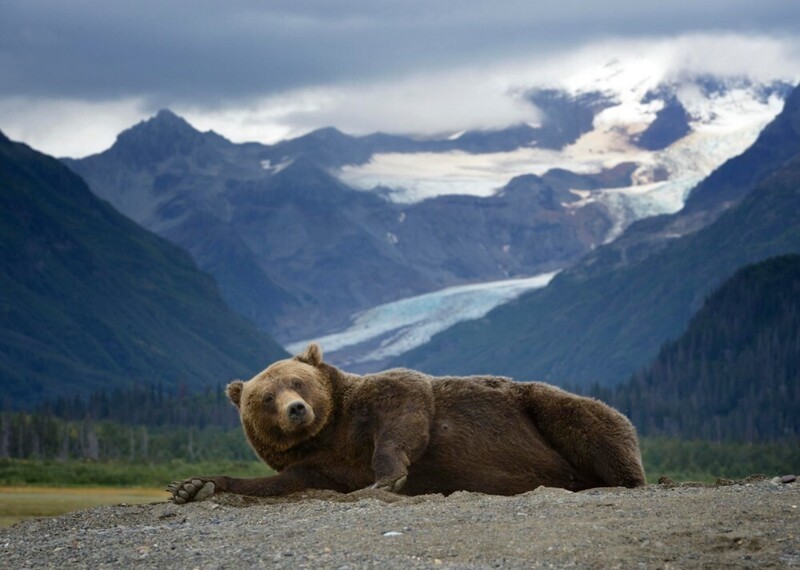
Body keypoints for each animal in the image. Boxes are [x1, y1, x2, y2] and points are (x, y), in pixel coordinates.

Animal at [167, 342, 644, 502]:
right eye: (267, 397)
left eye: (297, 381)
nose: (296, 409)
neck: (330, 432)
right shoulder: (319, 464)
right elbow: (275, 484)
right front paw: (193, 486)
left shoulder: (383, 399)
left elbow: (405, 412)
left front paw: (387, 478)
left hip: (542, 407)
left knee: (588, 421)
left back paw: (622, 480)